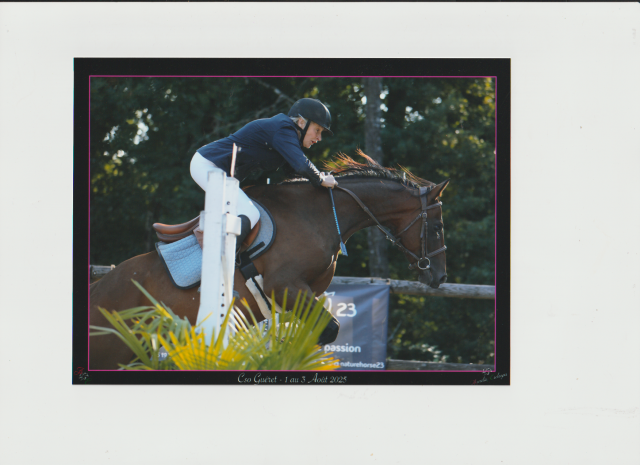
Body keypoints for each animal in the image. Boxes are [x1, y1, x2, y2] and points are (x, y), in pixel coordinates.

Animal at [89, 153, 449, 369]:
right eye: (436, 227)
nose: (439, 277)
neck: (319, 214)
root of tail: (99, 288)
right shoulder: (284, 286)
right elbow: (328, 330)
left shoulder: (302, 294)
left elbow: (316, 333)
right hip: (113, 347)